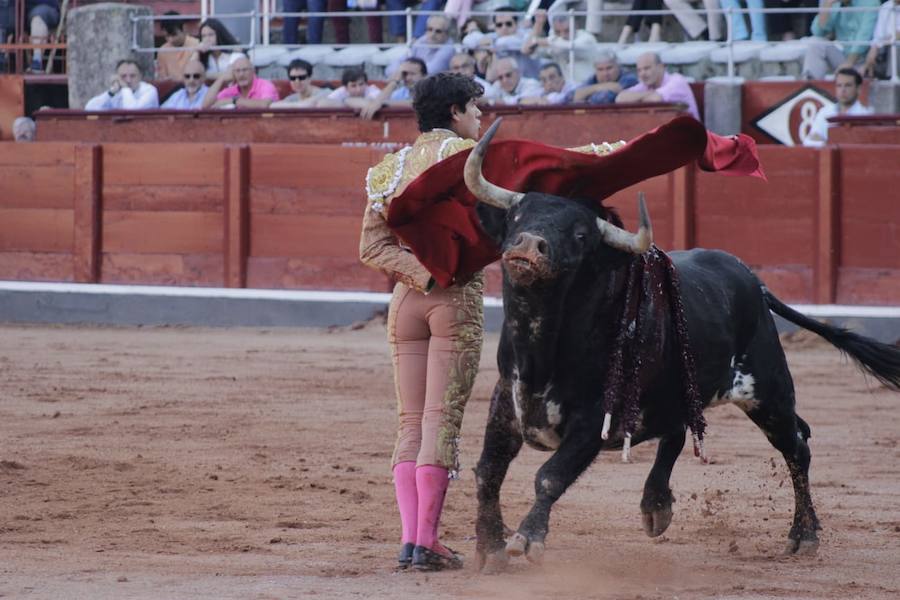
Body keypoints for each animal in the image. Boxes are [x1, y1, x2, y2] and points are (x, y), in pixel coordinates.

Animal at [468, 119, 900, 576]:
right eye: (517, 216)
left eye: (581, 234)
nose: (527, 244)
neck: (541, 348)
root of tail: (755, 282)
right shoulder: (505, 402)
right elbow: (487, 472)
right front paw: (490, 546)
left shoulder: (592, 420)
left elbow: (550, 475)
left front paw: (526, 538)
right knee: (679, 432)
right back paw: (656, 506)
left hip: (768, 393)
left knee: (797, 447)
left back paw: (804, 536)